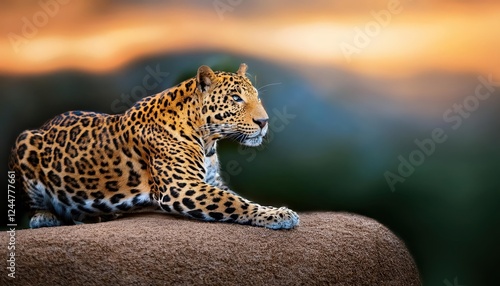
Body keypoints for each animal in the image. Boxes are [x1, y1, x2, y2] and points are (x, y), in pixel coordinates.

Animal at [8, 63, 300, 230]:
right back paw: (45, 217)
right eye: (236, 98)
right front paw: (279, 216)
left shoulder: (211, 182)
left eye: (257, 97)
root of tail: (46, 124)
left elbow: (239, 197)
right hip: (23, 142)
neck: (208, 140)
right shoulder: (182, 188)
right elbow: (234, 202)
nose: (264, 122)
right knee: (34, 204)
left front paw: (275, 211)